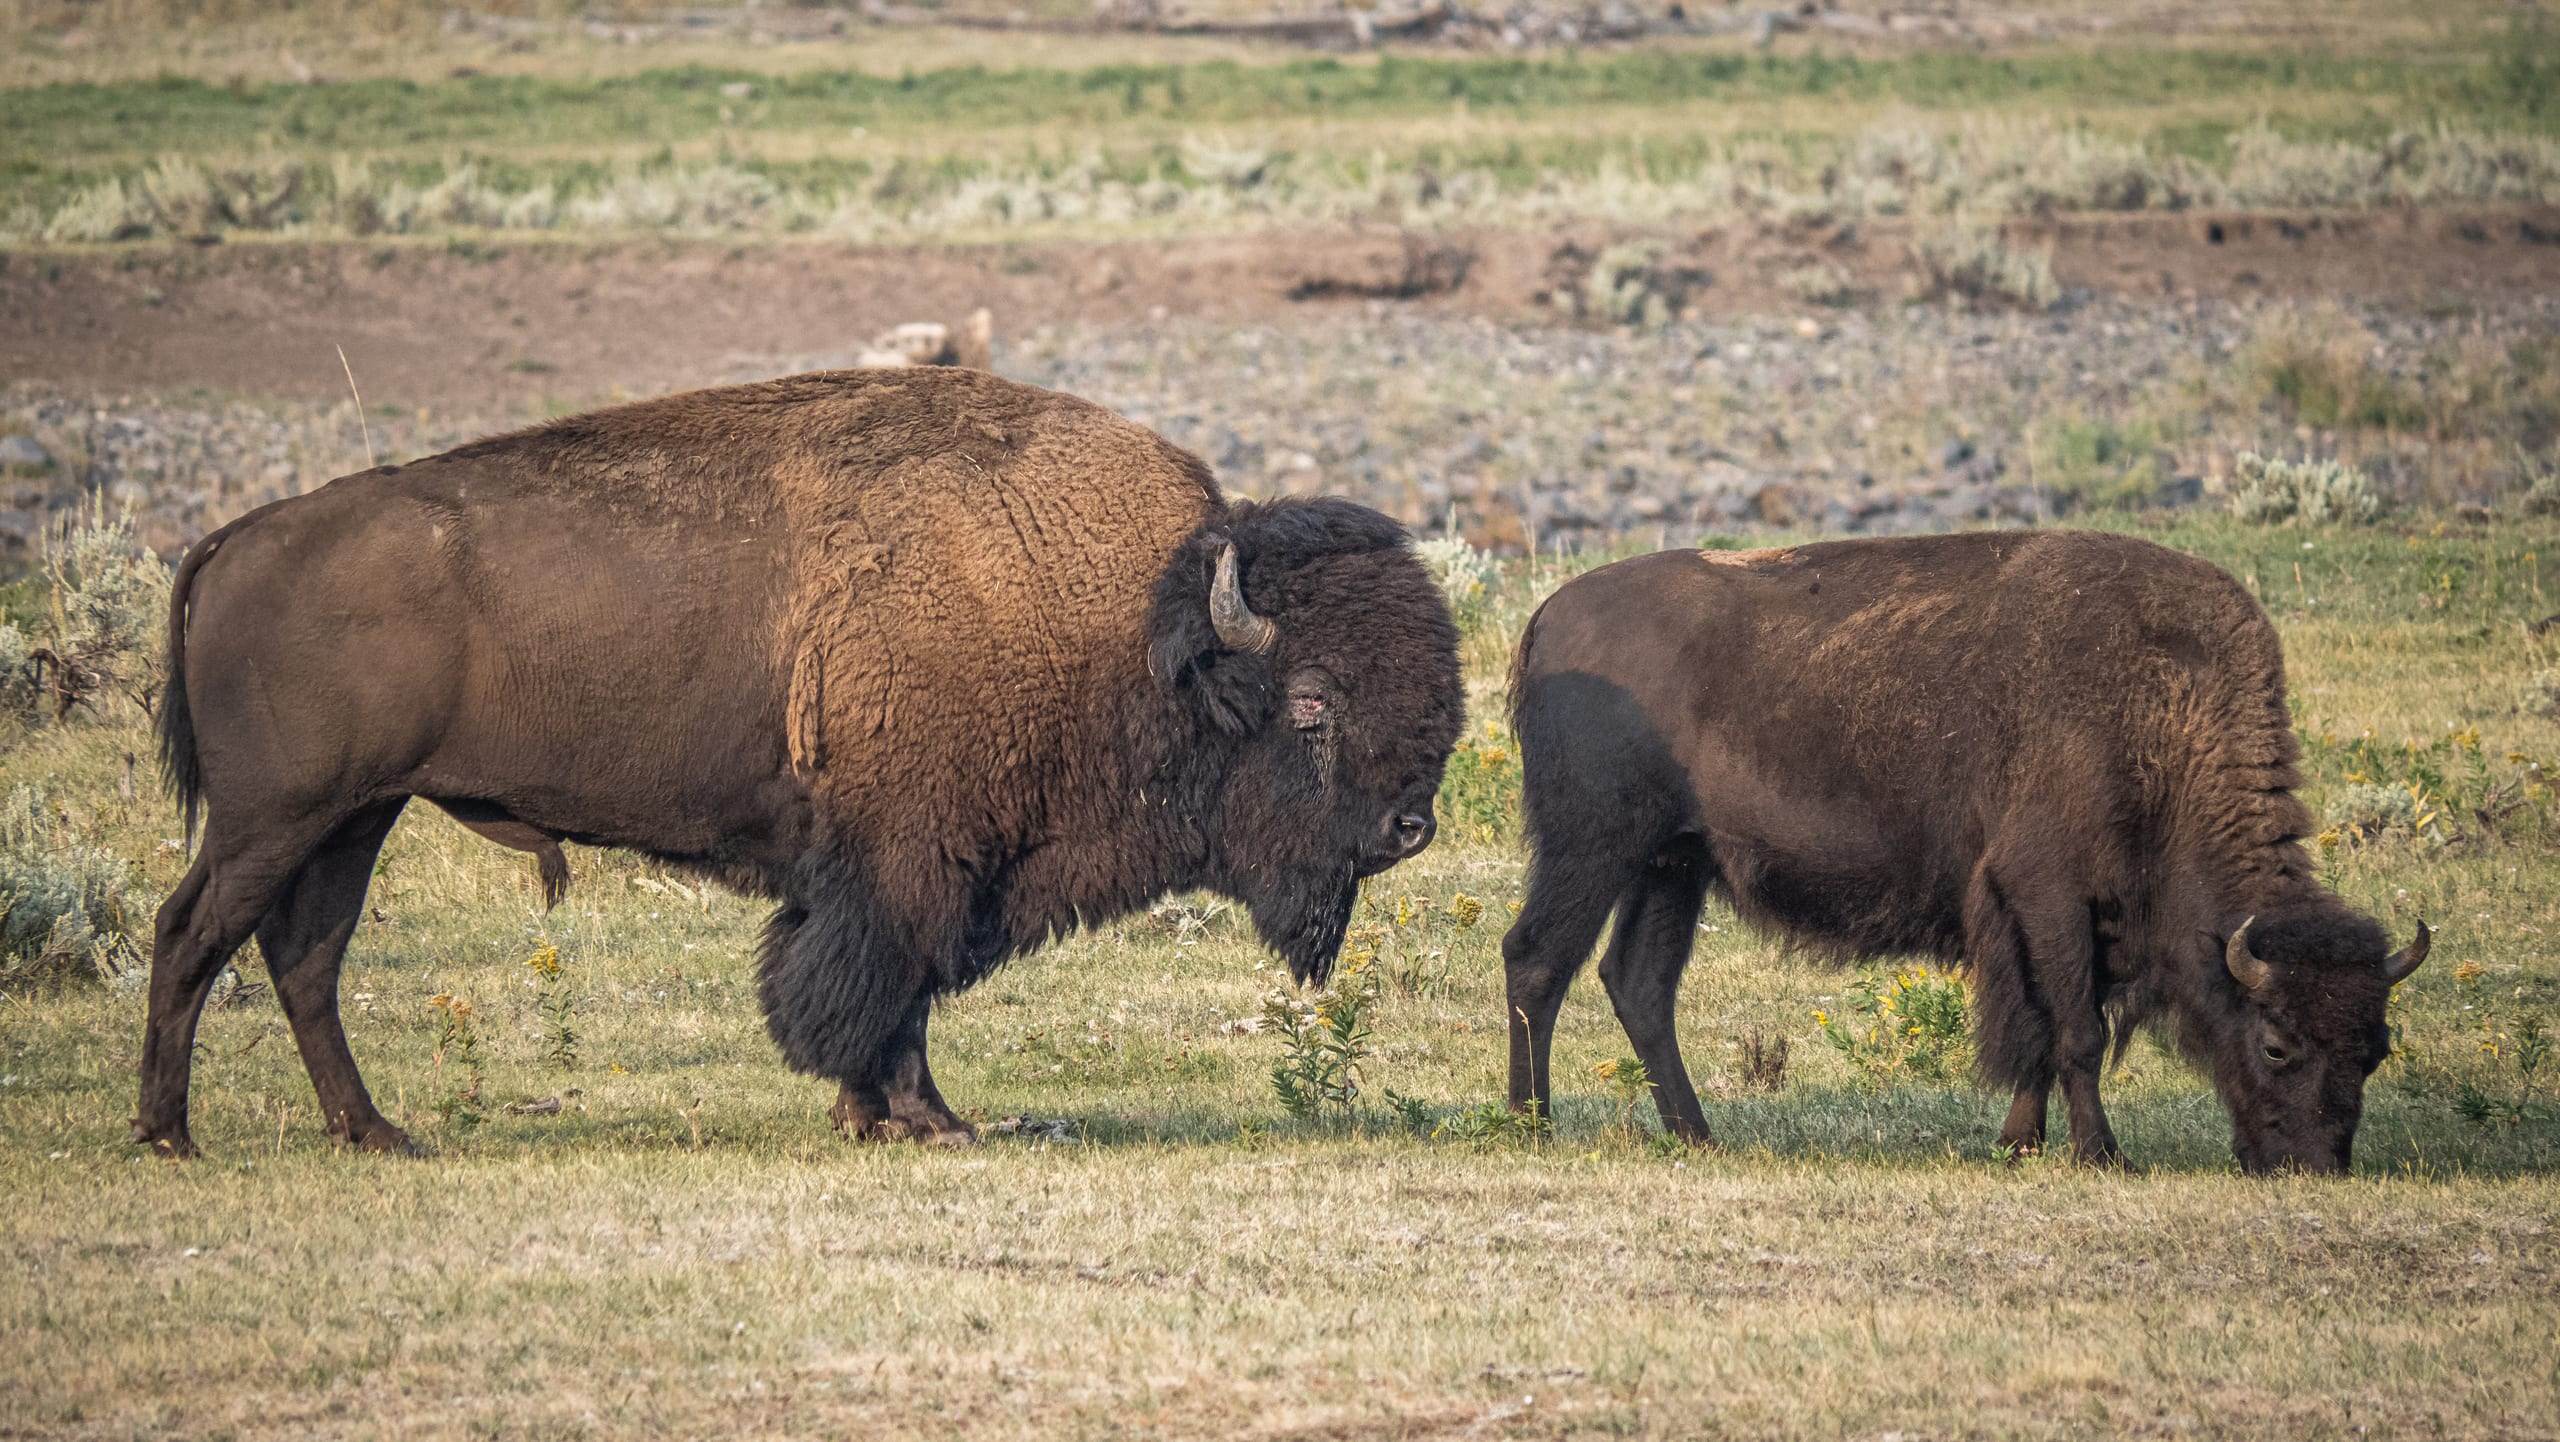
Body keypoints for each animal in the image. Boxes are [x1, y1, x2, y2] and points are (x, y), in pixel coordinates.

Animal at [138, 368, 1462, 1157]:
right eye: (1311, 702)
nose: (1410, 828)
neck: (1130, 621)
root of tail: (231, 538)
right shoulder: (910, 858)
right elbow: (886, 983)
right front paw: (924, 1120)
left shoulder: (921, 861)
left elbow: (891, 989)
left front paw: (880, 1113)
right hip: (277, 816)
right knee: (195, 933)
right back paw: (170, 1133)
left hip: (353, 817)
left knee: (304, 955)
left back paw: (374, 1132)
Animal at [1502, 531, 2429, 1173]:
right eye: (2276, 1044)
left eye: (2376, 1048)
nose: (2315, 1166)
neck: (2163, 715)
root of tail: (1546, 617)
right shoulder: (2049, 893)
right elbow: (2076, 1030)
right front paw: (2103, 1154)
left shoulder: (2054, 921)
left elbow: (2042, 1032)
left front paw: (2019, 1143)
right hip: (1593, 848)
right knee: (1537, 960)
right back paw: (1531, 1125)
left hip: (1674, 864)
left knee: (1639, 983)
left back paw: (1698, 1136)